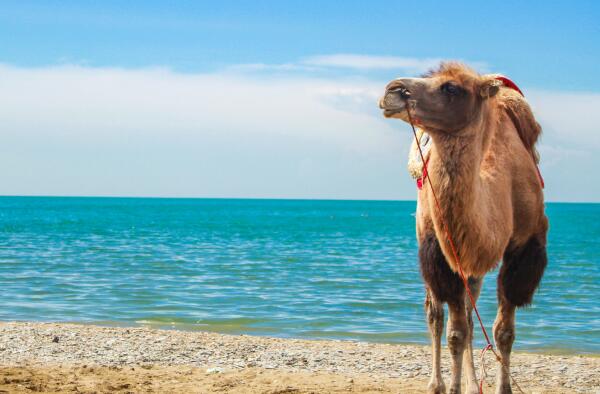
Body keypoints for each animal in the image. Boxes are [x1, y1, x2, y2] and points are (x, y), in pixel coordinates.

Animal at [380, 63, 548, 392]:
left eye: (451, 88)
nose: (392, 90)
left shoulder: (523, 249)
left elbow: (502, 331)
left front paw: (502, 388)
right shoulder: (442, 251)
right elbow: (454, 333)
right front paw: (450, 387)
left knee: (471, 317)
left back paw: (473, 383)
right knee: (435, 314)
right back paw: (436, 383)